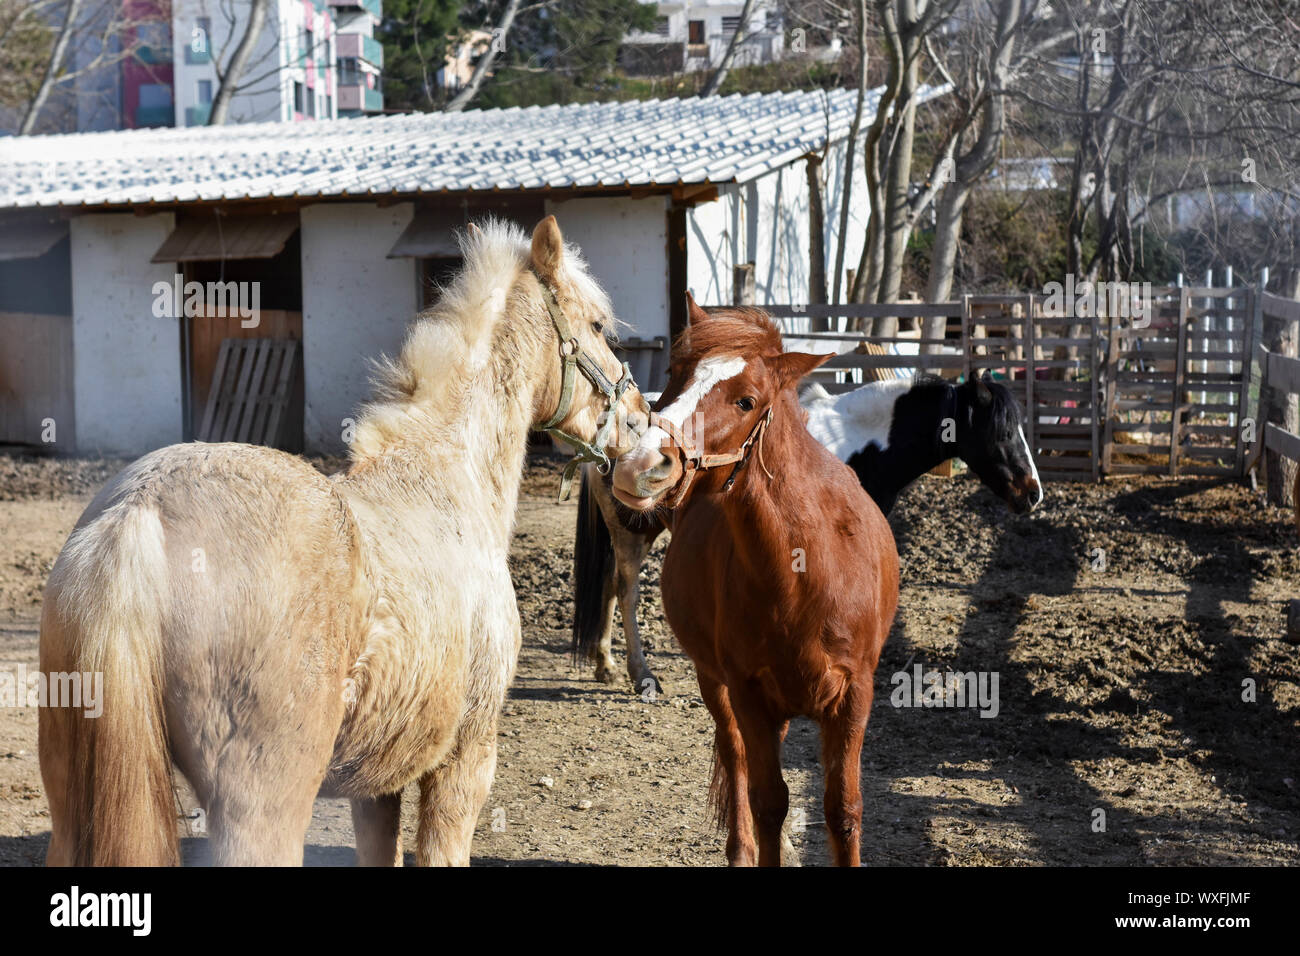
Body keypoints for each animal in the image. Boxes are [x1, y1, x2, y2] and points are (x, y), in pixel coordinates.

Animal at [38, 217, 647, 868]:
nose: (640, 418)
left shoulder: (375, 784)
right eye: (599, 326)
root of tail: (138, 512)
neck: (445, 477)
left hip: (74, 808)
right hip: (264, 812)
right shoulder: (466, 760)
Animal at [574, 369, 1040, 691]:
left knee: (610, 587)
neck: (857, 446)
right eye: (1002, 431)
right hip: (632, 531)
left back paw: (606, 664)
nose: (1032, 493)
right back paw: (641, 675)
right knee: (627, 591)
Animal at [605, 299, 894, 868]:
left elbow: (843, 809)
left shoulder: (854, 696)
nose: (639, 464)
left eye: (747, 401)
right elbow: (767, 800)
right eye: (673, 375)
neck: (805, 575)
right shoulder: (747, 692)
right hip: (714, 681)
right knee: (733, 753)